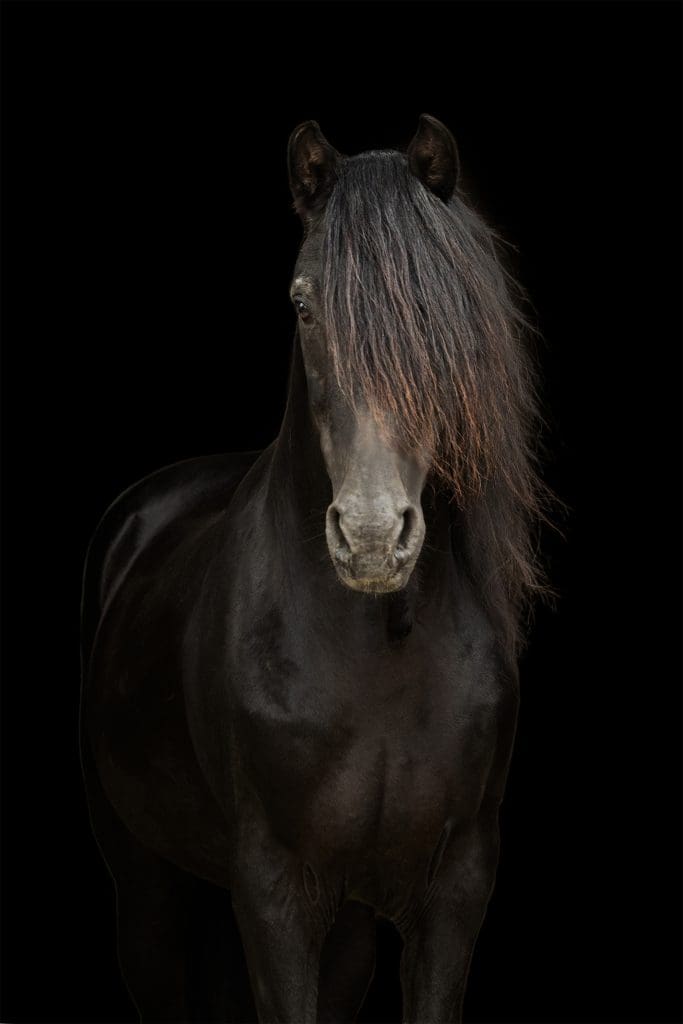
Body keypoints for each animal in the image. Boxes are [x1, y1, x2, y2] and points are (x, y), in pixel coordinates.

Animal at [80, 114, 547, 1024]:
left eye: (438, 309)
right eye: (301, 305)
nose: (368, 537)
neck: (379, 652)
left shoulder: (454, 892)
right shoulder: (275, 893)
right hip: (144, 887)